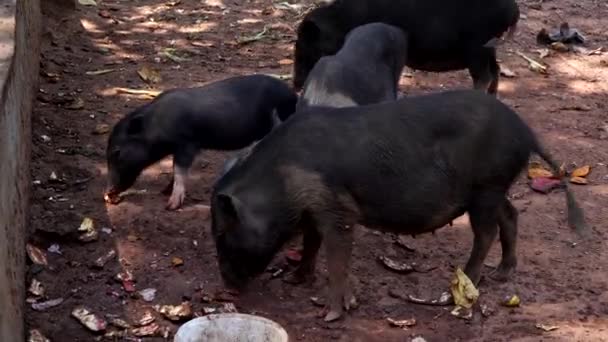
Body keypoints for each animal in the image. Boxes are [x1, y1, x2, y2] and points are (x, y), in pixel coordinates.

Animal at [105, 74, 300, 210]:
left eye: (117, 152)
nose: (109, 192)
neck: (158, 125)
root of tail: (293, 95)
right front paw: (163, 191)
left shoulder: (187, 143)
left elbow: (179, 169)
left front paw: (171, 205)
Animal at [211, 89, 588, 322]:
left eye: (223, 234)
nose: (227, 284)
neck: (281, 182)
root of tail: (526, 132)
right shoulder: (314, 212)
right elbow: (310, 245)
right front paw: (295, 280)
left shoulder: (337, 210)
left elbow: (336, 258)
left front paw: (331, 315)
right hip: (494, 190)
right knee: (511, 215)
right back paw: (502, 273)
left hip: (485, 188)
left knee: (486, 232)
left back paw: (464, 284)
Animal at [292, 0, 520, 95]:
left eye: (308, 46)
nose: (296, 85)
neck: (342, 22)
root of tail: (513, 9)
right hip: (488, 48)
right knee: (496, 71)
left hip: (478, 47)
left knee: (485, 76)